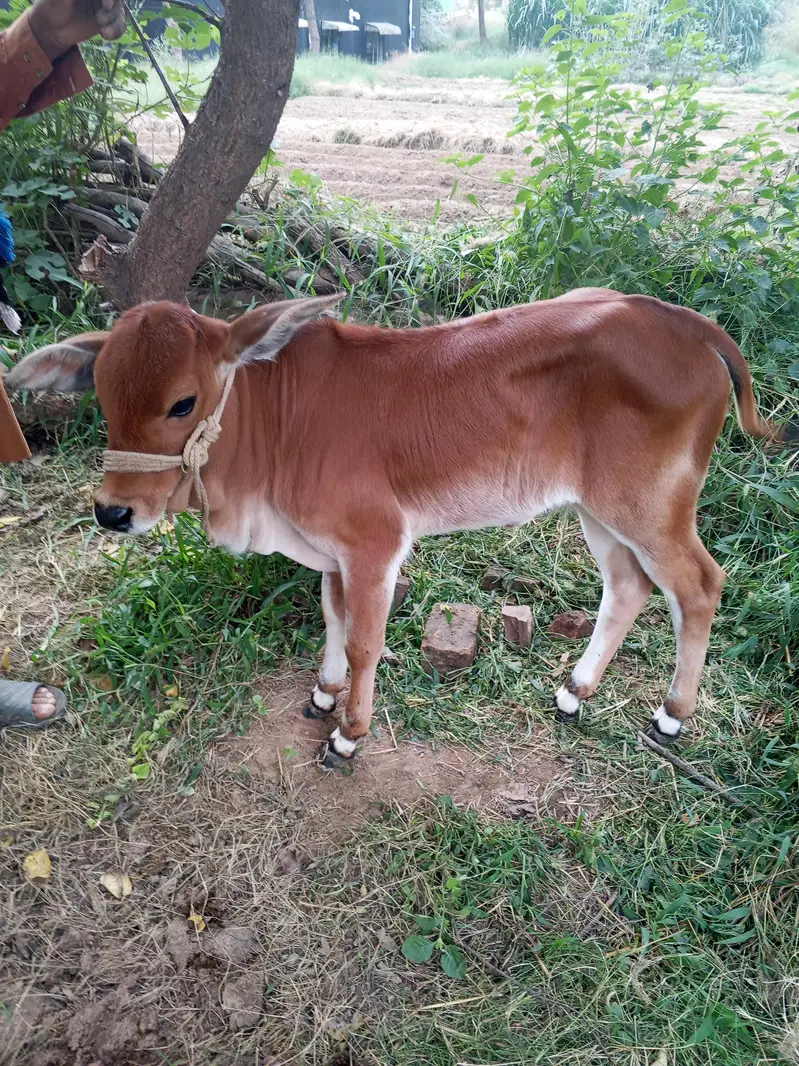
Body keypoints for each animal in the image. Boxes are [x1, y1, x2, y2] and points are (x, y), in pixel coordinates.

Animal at [7, 288, 796, 769]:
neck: (275, 420)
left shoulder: (374, 545)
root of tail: (680, 320)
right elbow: (330, 618)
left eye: (182, 402)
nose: (114, 511)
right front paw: (323, 696)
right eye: (102, 394)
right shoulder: (330, 553)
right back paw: (575, 691)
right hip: (596, 511)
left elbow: (364, 640)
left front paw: (348, 736)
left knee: (699, 586)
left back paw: (671, 714)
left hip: (650, 507)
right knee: (628, 588)